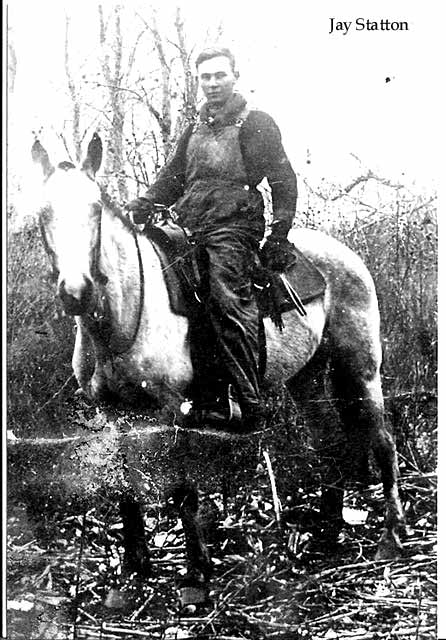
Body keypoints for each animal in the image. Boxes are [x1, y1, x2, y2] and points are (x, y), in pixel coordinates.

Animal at [31, 133, 405, 599]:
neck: (122, 317)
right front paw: (134, 569)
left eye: (95, 208)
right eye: (43, 213)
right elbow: (127, 490)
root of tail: (343, 254)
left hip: (361, 368)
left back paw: (391, 537)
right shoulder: (114, 414)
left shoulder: (174, 410)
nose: (75, 292)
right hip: (308, 378)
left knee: (384, 441)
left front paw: (196, 573)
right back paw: (327, 532)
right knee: (330, 441)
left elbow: (182, 488)